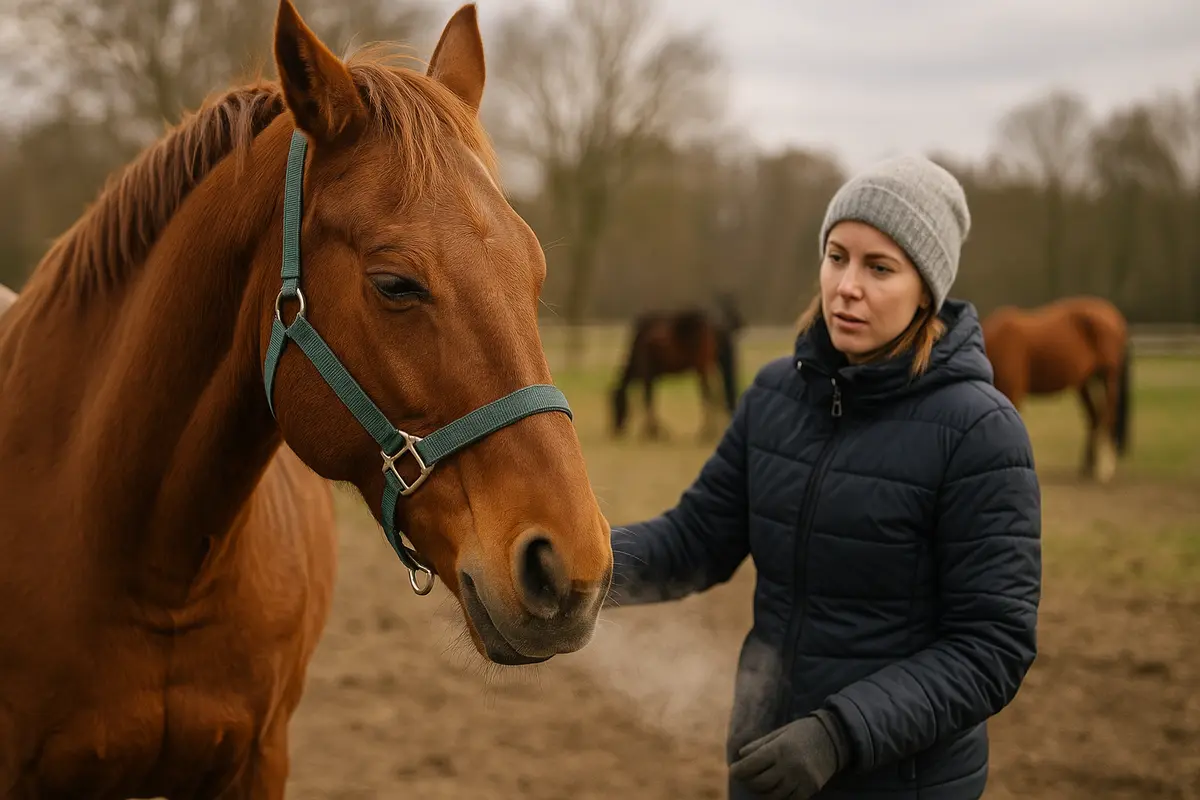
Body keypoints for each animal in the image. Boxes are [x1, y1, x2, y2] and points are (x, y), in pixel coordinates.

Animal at [611, 293, 742, 440]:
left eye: (616, 403)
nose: (616, 431)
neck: (639, 342)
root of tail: (715, 325)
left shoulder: (647, 376)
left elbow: (648, 400)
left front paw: (651, 432)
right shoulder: (652, 378)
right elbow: (652, 400)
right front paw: (655, 430)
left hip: (702, 368)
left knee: (708, 394)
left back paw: (706, 433)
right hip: (712, 366)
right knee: (718, 394)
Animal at [981, 295, 1131, 483]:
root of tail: (1114, 316)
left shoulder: (1012, 392)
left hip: (1108, 378)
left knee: (1108, 417)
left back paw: (1105, 471)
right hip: (1086, 382)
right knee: (1095, 417)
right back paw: (1087, 467)